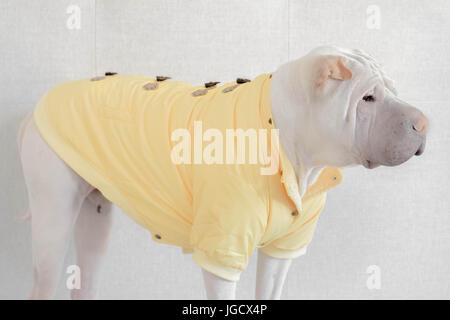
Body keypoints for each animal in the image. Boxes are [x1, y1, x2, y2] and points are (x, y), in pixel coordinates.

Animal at [17, 46, 428, 298]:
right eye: (367, 98)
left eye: (393, 90)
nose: (424, 123)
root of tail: (38, 105)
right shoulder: (221, 256)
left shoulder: (281, 253)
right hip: (53, 219)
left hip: (96, 218)